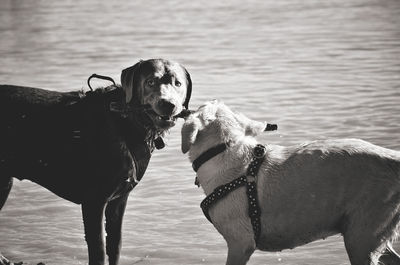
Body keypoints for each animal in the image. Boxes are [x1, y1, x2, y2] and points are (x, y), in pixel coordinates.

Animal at [0, 58, 192, 264]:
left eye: (178, 83)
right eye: (150, 82)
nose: (168, 104)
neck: (126, 121)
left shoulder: (119, 200)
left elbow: (115, 244)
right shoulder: (94, 200)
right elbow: (98, 249)